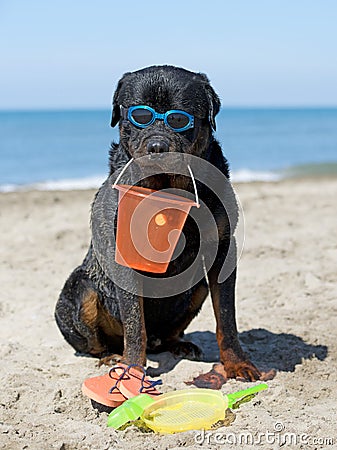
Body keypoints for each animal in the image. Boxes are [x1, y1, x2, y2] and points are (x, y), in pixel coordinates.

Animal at [54, 65, 260, 382]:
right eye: (140, 115)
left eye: (179, 118)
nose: (157, 145)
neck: (166, 188)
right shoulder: (123, 253)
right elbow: (134, 323)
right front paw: (131, 369)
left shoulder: (224, 246)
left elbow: (226, 317)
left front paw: (238, 363)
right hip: (80, 288)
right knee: (98, 339)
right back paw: (111, 356)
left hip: (197, 287)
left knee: (168, 333)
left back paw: (180, 345)